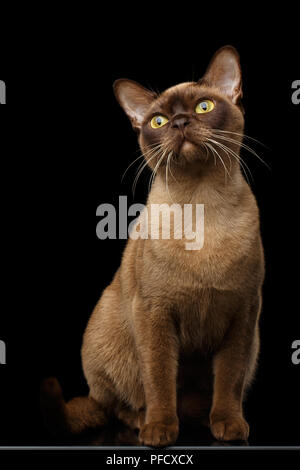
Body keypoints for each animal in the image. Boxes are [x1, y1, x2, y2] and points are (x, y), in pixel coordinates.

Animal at [41, 46, 264, 446]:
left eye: (204, 107)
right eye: (158, 121)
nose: (179, 122)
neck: (201, 205)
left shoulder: (242, 314)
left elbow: (229, 380)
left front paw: (230, 426)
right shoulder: (154, 313)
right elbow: (159, 379)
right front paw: (160, 431)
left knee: (195, 402)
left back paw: (205, 420)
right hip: (110, 332)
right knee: (115, 404)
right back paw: (141, 421)